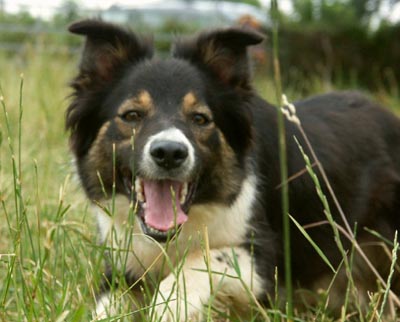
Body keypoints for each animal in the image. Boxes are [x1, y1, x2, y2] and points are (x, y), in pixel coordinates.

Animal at [66, 20, 400, 320]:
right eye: (132, 115)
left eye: (200, 118)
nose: (169, 153)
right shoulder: (124, 266)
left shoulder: (263, 261)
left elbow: (201, 261)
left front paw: (167, 306)